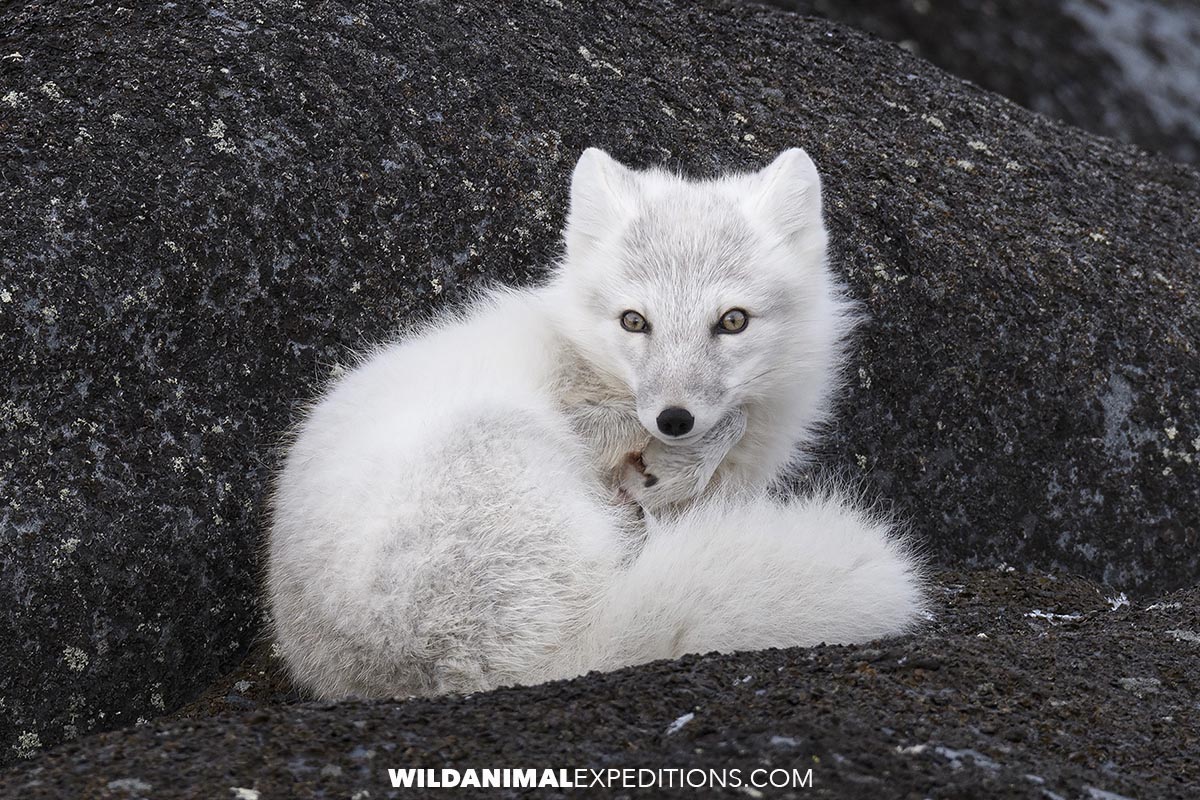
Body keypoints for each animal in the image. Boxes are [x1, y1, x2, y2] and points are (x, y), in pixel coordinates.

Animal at [266, 147, 926, 699]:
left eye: (733, 320)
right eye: (634, 321)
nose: (675, 420)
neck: (585, 359)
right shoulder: (580, 416)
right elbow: (716, 422)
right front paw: (670, 466)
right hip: (503, 436)